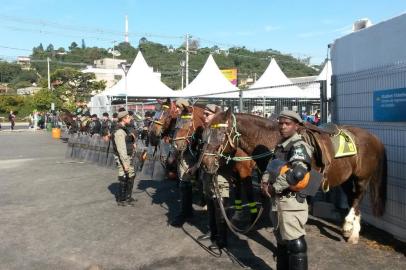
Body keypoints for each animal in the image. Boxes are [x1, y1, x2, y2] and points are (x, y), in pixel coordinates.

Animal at [203, 108, 386, 244]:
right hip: (346, 179)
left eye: (221, 133)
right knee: (352, 199)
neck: (273, 140)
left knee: (358, 198)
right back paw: (350, 230)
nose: (205, 162)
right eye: (207, 132)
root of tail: (373, 137)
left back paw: (351, 231)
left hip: (362, 178)